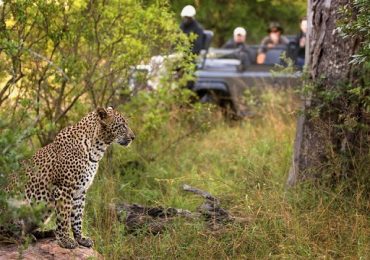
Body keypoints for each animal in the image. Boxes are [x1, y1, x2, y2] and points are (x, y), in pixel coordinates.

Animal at [15, 106, 135, 249]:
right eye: (122, 125)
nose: (133, 137)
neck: (97, 149)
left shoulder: (80, 191)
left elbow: (77, 217)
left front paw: (80, 239)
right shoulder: (64, 188)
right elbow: (64, 217)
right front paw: (65, 240)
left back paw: (43, 233)